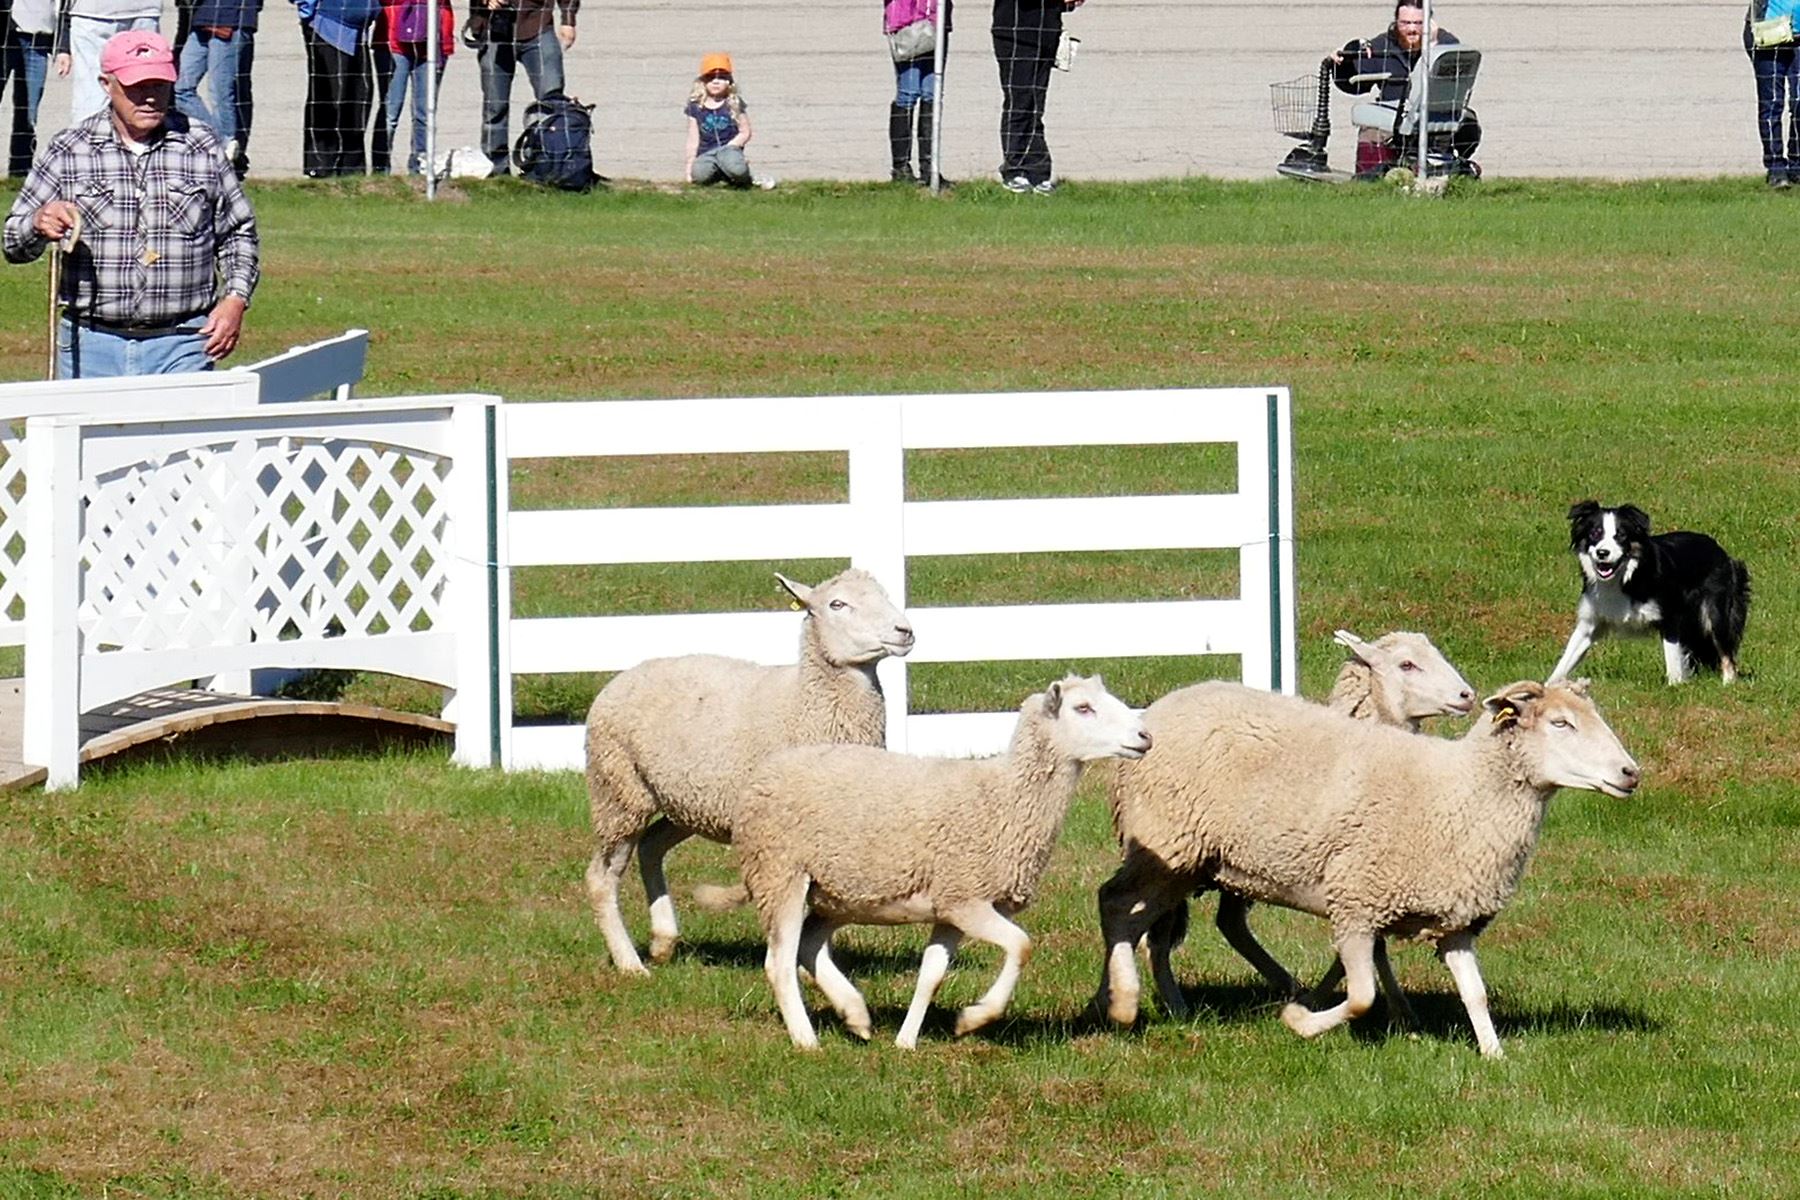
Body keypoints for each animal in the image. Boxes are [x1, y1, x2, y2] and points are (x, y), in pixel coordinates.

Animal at [583, 572, 914, 978]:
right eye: (837, 604)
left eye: (885, 595)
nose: (904, 631)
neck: (805, 702)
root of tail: (623, 675)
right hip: (618, 791)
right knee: (602, 877)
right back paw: (630, 963)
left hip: (687, 801)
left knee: (651, 845)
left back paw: (663, 941)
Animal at [734, 676, 1144, 1050]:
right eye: (1083, 708)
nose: (1145, 735)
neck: (1004, 797)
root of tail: (765, 771)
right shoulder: (965, 899)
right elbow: (1022, 945)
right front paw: (975, 1017)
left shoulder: (949, 909)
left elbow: (931, 975)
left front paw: (906, 1041)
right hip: (779, 872)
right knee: (780, 962)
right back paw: (806, 1039)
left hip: (838, 893)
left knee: (809, 945)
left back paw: (855, 1014)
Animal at [1087, 680, 1641, 1057]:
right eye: (1560, 723)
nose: (1631, 773)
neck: (1461, 793)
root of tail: (1160, 708)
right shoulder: (1357, 903)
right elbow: (1361, 996)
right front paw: (1299, 1020)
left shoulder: (1454, 922)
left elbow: (1476, 993)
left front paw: (1494, 1055)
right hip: (1166, 844)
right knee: (1115, 906)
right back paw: (1120, 1004)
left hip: (1190, 861)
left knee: (1151, 929)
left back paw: (1154, 1005)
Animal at [1137, 629, 1476, 1021]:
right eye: (1407, 664)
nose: (1467, 695)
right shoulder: (1361, 872)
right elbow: (1370, 948)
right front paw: (1391, 1009)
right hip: (1175, 847)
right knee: (1159, 936)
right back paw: (1179, 1006)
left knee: (1230, 925)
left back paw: (1287, 985)